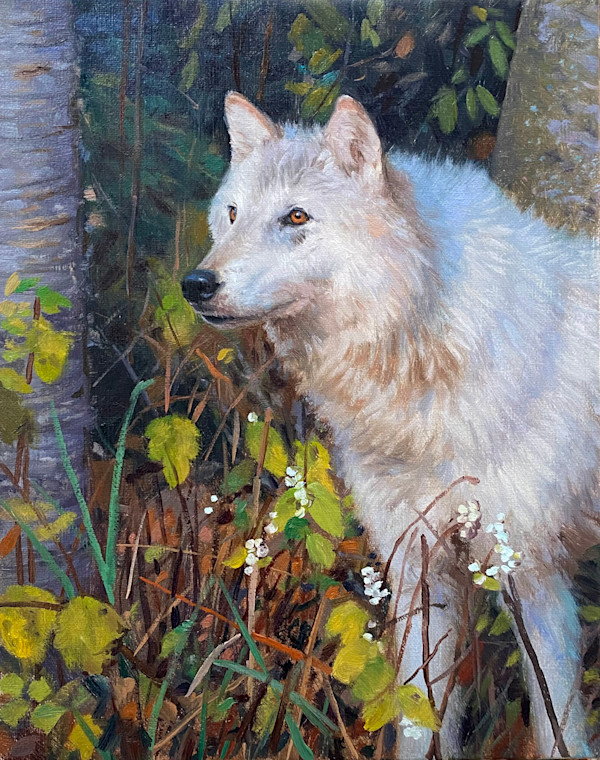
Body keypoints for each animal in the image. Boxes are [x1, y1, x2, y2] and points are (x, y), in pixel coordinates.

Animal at [183, 92, 599, 759]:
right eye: (232, 213)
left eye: (296, 217)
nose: (196, 284)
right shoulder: (417, 566)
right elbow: (419, 713)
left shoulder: (532, 573)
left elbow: (556, 720)